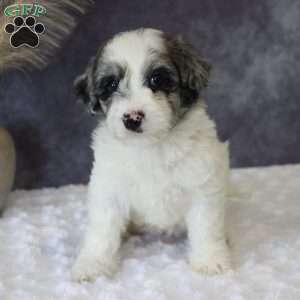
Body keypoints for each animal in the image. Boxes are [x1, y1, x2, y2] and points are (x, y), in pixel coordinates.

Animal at [71, 28, 231, 282]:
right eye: (111, 84)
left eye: (157, 79)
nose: (132, 118)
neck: (150, 147)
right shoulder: (108, 189)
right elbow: (102, 230)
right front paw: (93, 264)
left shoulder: (203, 186)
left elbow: (206, 226)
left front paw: (210, 259)